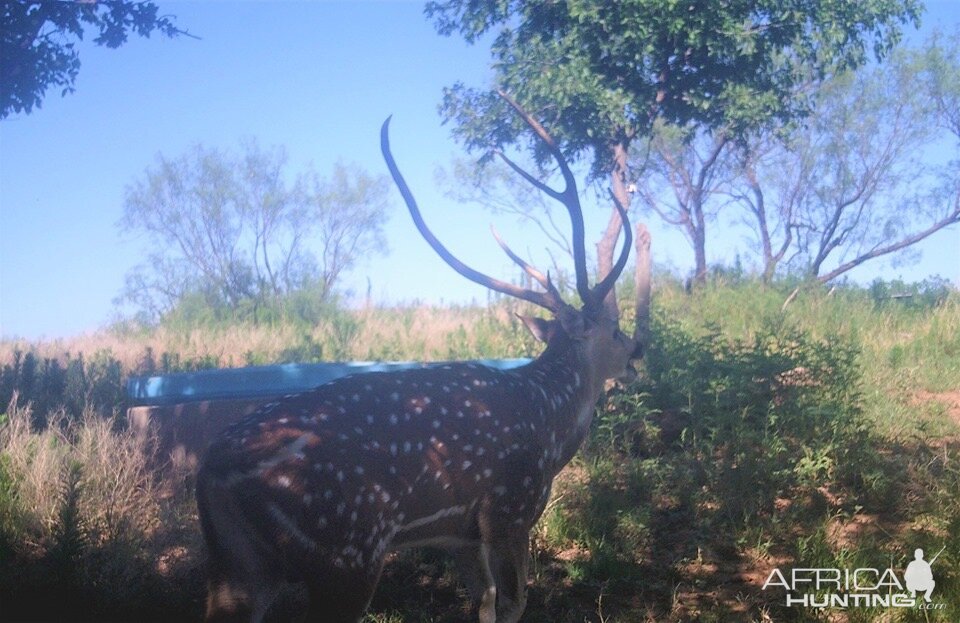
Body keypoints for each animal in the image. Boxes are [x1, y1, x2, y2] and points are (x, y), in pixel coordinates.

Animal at [196, 100, 640, 620]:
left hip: (237, 566)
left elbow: (485, 602)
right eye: (614, 329)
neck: (551, 425)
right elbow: (514, 602)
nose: (637, 351)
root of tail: (213, 473)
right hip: (347, 551)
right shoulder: (510, 508)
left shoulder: (460, 533)